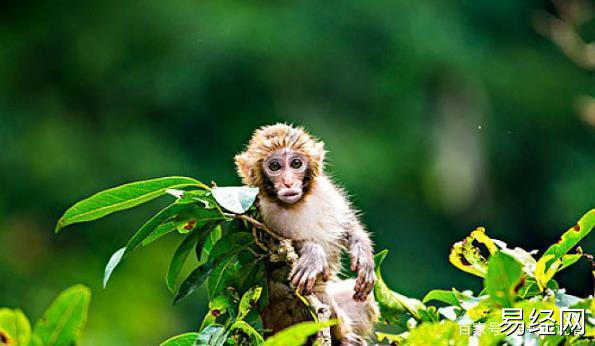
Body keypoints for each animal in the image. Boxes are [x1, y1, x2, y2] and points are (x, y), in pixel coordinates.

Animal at [235, 123, 380, 344]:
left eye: (296, 164)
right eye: (275, 167)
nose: (288, 182)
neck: (298, 203)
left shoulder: (325, 190)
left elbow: (347, 225)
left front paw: (362, 252)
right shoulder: (259, 210)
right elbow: (276, 250)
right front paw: (312, 254)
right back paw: (343, 337)